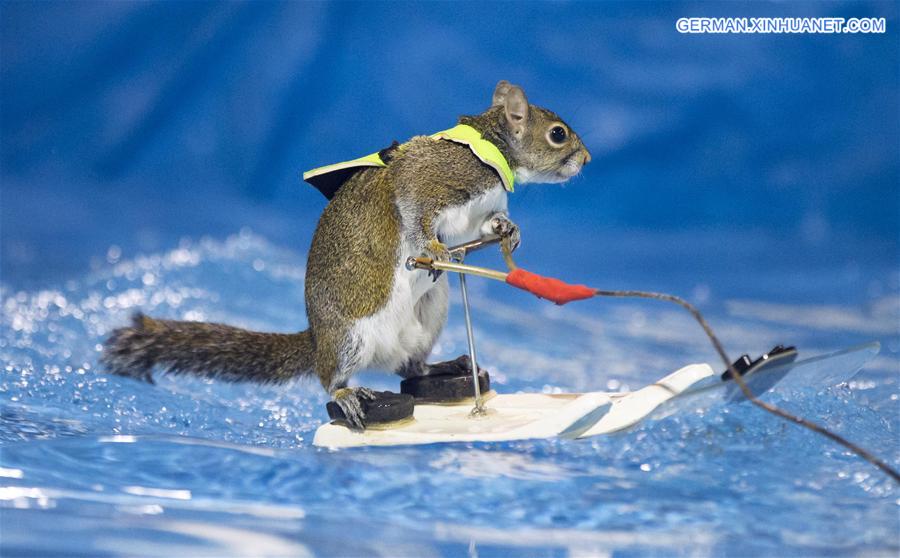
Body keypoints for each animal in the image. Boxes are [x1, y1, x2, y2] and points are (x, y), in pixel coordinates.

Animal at [102, 80, 591, 430]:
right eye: (558, 134)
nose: (586, 159)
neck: (491, 150)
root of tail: (318, 340)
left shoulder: (474, 215)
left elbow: (483, 227)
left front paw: (509, 229)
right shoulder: (430, 179)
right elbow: (414, 211)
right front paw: (433, 248)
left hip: (429, 317)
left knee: (411, 366)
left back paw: (444, 368)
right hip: (348, 339)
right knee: (331, 378)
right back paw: (346, 397)